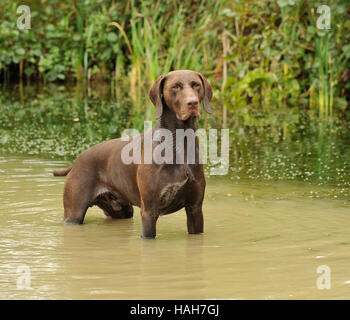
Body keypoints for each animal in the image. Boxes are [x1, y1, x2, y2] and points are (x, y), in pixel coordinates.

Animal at [54, 70, 213, 240]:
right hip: (73, 213)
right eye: (176, 86)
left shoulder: (195, 209)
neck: (179, 141)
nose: (193, 103)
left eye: (196, 85)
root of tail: (77, 160)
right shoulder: (149, 212)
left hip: (121, 211)